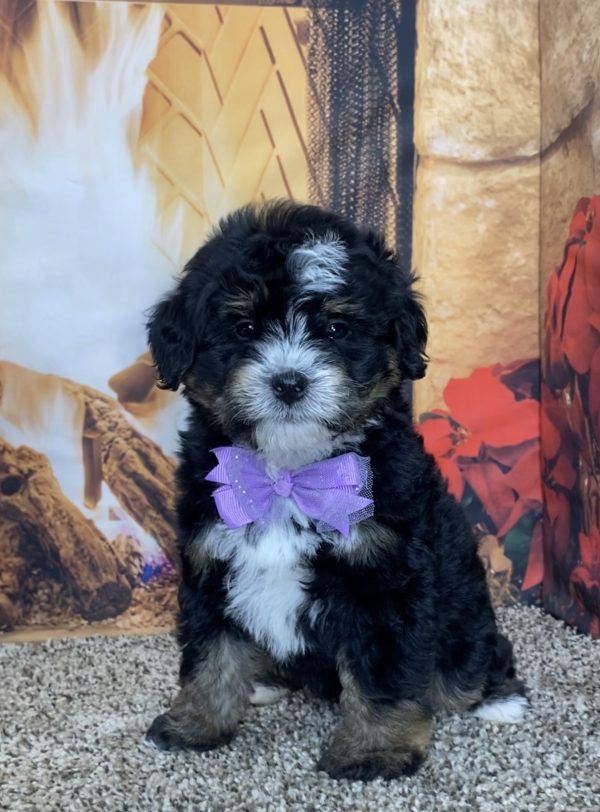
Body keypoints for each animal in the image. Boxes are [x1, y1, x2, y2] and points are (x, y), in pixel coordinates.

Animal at [146, 201, 528, 780]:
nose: (289, 382)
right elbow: (210, 651)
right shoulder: (209, 558)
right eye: (244, 327)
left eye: (335, 328)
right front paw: (196, 722)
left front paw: (375, 749)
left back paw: (497, 697)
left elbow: (383, 673)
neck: (288, 471)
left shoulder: (385, 576)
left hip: (465, 614)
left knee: (468, 662)